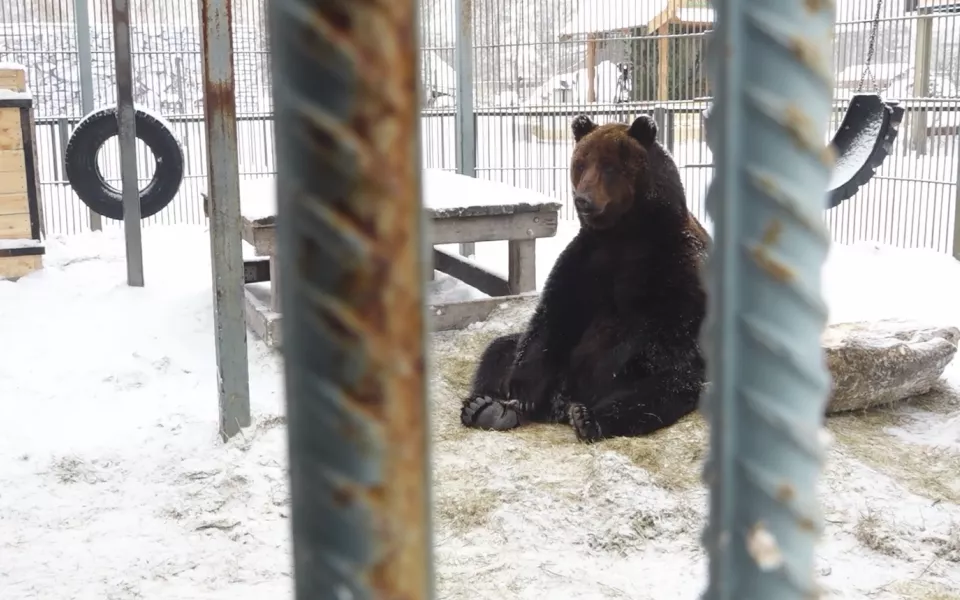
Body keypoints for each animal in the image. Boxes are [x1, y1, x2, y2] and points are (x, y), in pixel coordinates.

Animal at [462, 113, 708, 440]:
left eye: (610, 166)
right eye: (580, 164)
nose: (583, 200)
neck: (625, 234)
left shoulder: (673, 264)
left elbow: (662, 332)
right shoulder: (585, 261)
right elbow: (553, 318)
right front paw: (523, 394)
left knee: (665, 389)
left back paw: (587, 416)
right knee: (500, 350)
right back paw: (488, 407)